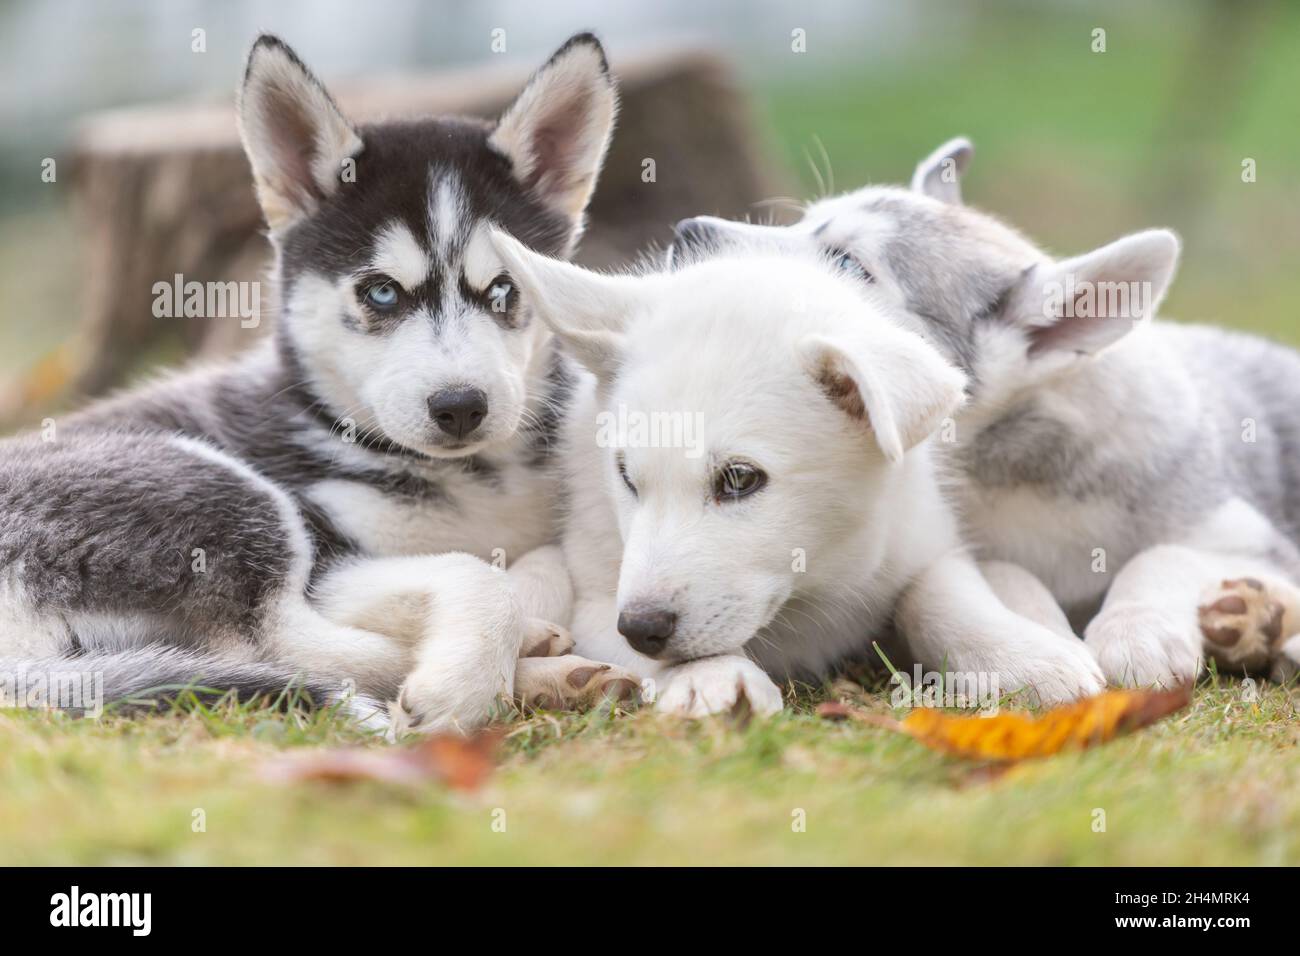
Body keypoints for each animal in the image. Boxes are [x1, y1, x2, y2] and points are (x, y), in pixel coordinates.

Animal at [0, 29, 629, 733]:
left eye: (503, 290)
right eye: (381, 292)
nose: (461, 406)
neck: (466, 481)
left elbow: (544, 559)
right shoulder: (329, 557)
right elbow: (473, 572)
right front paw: (461, 682)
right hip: (218, 488)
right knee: (280, 642)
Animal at [488, 230, 1107, 712]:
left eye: (740, 478)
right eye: (625, 476)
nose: (641, 629)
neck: (813, 584)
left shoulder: (922, 538)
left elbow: (940, 596)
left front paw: (1026, 658)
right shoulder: (599, 600)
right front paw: (710, 676)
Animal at [670, 138, 1300, 686]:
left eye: (846, 263)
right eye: (804, 221)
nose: (687, 231)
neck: (1015, 469)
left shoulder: (1253, 540)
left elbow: (1163, 554)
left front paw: (1137, 630)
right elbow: (999, 575)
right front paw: (1043, 637)